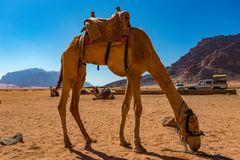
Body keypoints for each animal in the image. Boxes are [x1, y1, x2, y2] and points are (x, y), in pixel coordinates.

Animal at [55, 20, 203, 154]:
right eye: (194, 125)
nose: (197, 146)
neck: (149, 54)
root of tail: (64, 51)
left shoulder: (130, 75)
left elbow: (125, 107)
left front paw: (123, 141)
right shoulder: (135, 73)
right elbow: (138, 108)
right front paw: (138, 146)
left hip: (80, 69)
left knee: (74, 105)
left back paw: (88, 139)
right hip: (70, 66)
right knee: (62, 104)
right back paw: (68, 143)